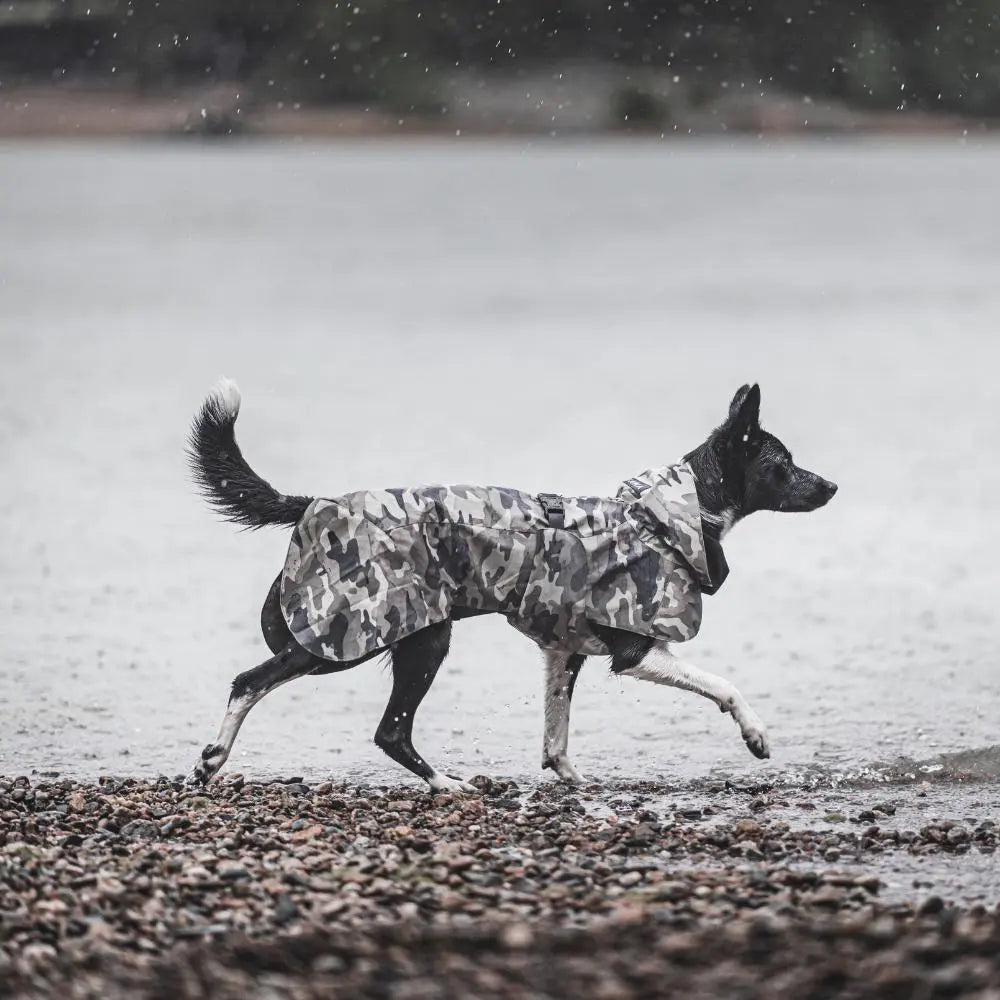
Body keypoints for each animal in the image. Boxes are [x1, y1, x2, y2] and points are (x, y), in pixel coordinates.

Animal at [186, 380, 836, 788]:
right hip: (384, 636)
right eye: (783, 464)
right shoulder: (637, 651)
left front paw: (571, 780)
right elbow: (725, 685)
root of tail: (316, 502)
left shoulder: (564, 651)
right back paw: (442, 784)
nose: (832, 486)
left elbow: (556, 734)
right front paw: (755, 735)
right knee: (320, 705)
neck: (671, 514)